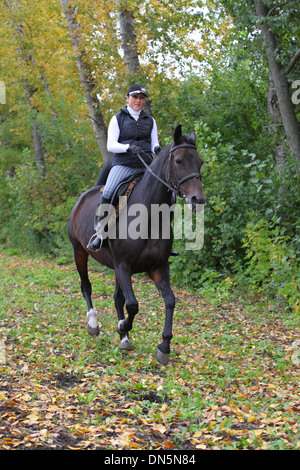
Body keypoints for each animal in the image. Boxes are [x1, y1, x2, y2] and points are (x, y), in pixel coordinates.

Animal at [68, 125, 206, 364]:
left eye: (200, 162)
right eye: (179, 160)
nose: (198, 200)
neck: (148, 217)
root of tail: (84, 196)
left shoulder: (157, 267)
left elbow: (170, 300)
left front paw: (164, 346)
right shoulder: (124, 266)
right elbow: (133, 304)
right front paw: (123, 325)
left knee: (117, 298)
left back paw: (124, 339)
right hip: (80, 252)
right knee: (86, 286)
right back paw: (94, 324)